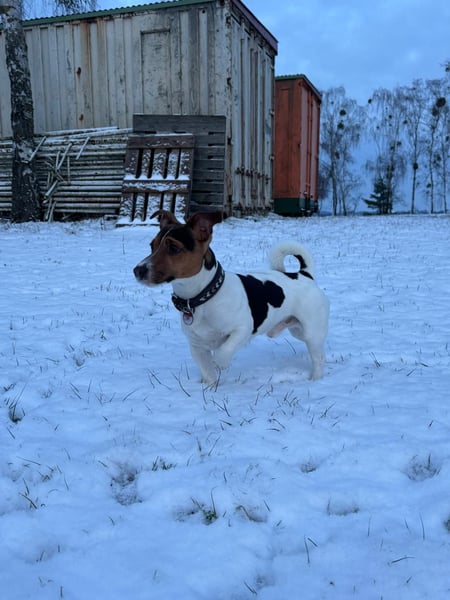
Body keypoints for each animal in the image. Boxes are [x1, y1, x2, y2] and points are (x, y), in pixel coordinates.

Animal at [134, 210, 329, 385]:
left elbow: (223, 351)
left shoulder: (242, 329)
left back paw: (316, 380)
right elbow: (208, 372)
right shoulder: (197, 346)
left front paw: (220, 364)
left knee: (318, 357)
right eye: (152, 246)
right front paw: (209, 388)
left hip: (311, 332)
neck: (202, 298)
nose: (138, 270)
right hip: (297, 330)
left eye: (173, 248)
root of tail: (304, 274)